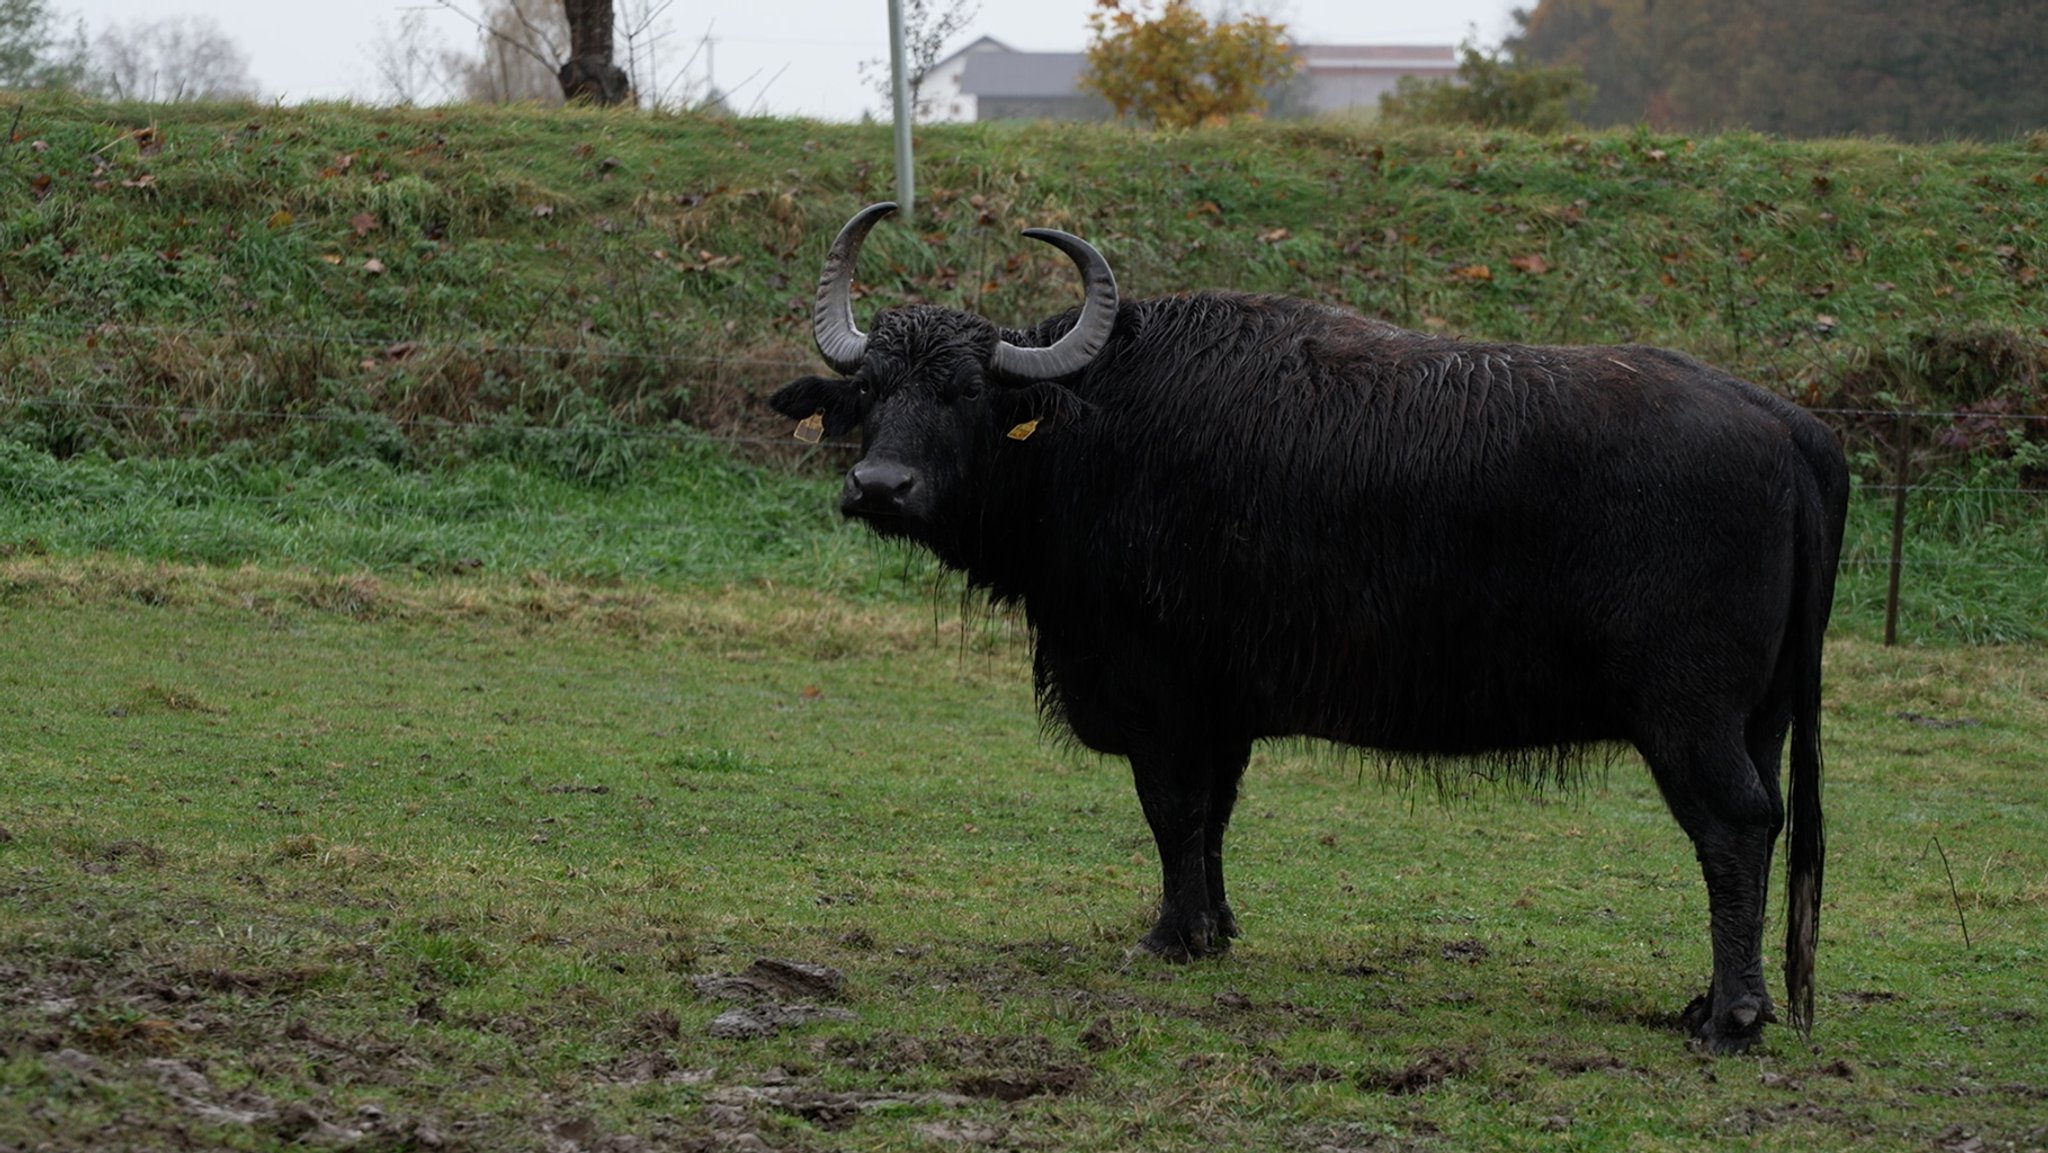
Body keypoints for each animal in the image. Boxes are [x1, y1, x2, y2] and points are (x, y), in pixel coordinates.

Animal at [770, 200, 1859, 1056]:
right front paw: (1213, 928)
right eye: (871, 392)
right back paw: (1709, 1001)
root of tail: (1787, 425)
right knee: (1761, 829)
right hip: (1759, 717)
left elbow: (1171, 811)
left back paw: (1731, 1017)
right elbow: (1213, 816)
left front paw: (1167, 937)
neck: (1097, 431)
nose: (879, 487)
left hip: (1688, 718)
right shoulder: (1221, 711)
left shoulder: (1162, 696)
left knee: (1733, 826)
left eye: (963, 393)